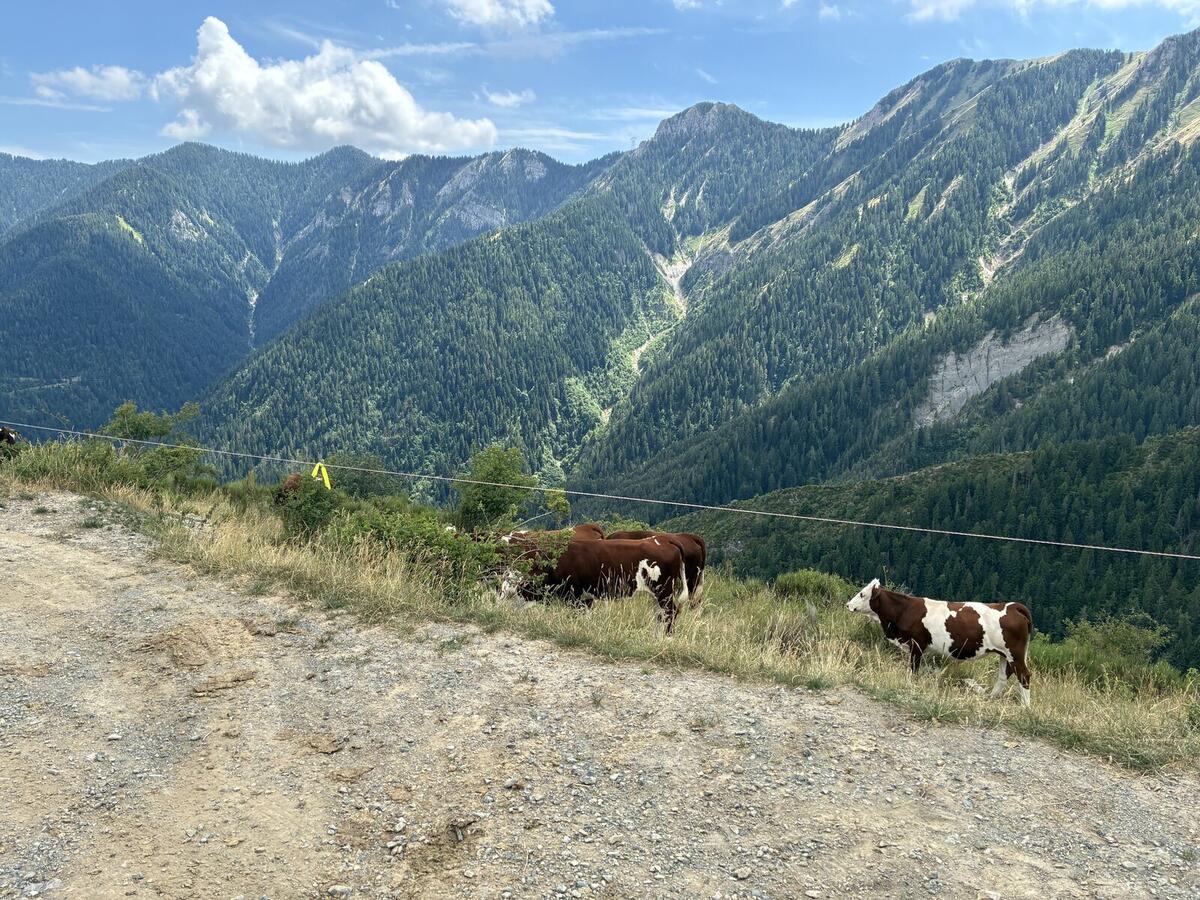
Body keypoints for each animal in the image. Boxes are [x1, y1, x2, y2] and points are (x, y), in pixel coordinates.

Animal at [502, 536, 689, 633]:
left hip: (664, 591)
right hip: (656, 595)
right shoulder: (586, 597)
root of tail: (663, 538)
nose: (501, 606)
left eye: (512, 589)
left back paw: (666, 637)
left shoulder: (574, 596)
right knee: (660, 614)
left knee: (670, 612)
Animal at [846, 579, 1033, 706]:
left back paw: (1025, 707)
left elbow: (913, 670)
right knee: (1003, 676)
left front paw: (909, 686)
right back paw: (990, 698)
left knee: (1024, 675)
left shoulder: (917, 645)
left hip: (1014, 653)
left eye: (862, 594)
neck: (904, 610)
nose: (848, 604)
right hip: (1004, 654)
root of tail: (1012, 606)